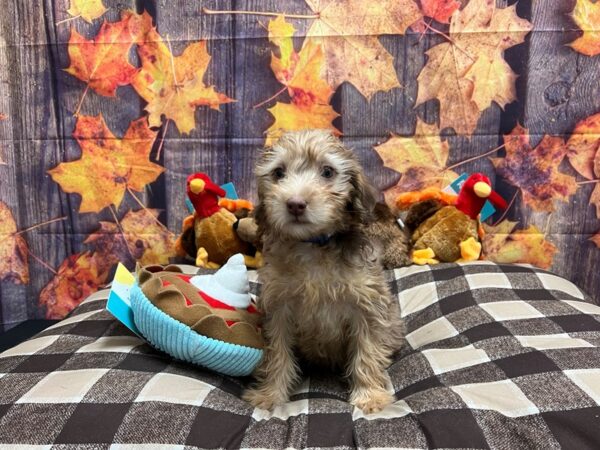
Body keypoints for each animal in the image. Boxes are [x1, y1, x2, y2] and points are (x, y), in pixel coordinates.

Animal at [244, 128, 408, 414]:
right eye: (278, 172)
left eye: (328, 172)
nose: (295, 204)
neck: (313, 246)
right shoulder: (277, 307)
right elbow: (277, 352)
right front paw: (271, 394)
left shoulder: (367, 305)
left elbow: (367, 350)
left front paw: (370, 396)